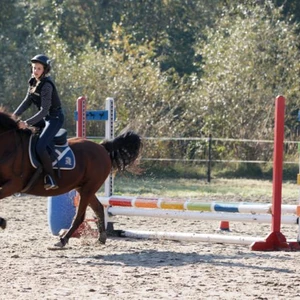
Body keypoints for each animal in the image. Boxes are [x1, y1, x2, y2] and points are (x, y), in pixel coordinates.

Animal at [0, 108, 142, 248]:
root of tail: (102, 147)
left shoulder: (14, 184)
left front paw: (2, 222)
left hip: (88, 189)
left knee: (80, 216)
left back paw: (63, 240)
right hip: (84, 188)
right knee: (98, 208)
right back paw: (101, 238)